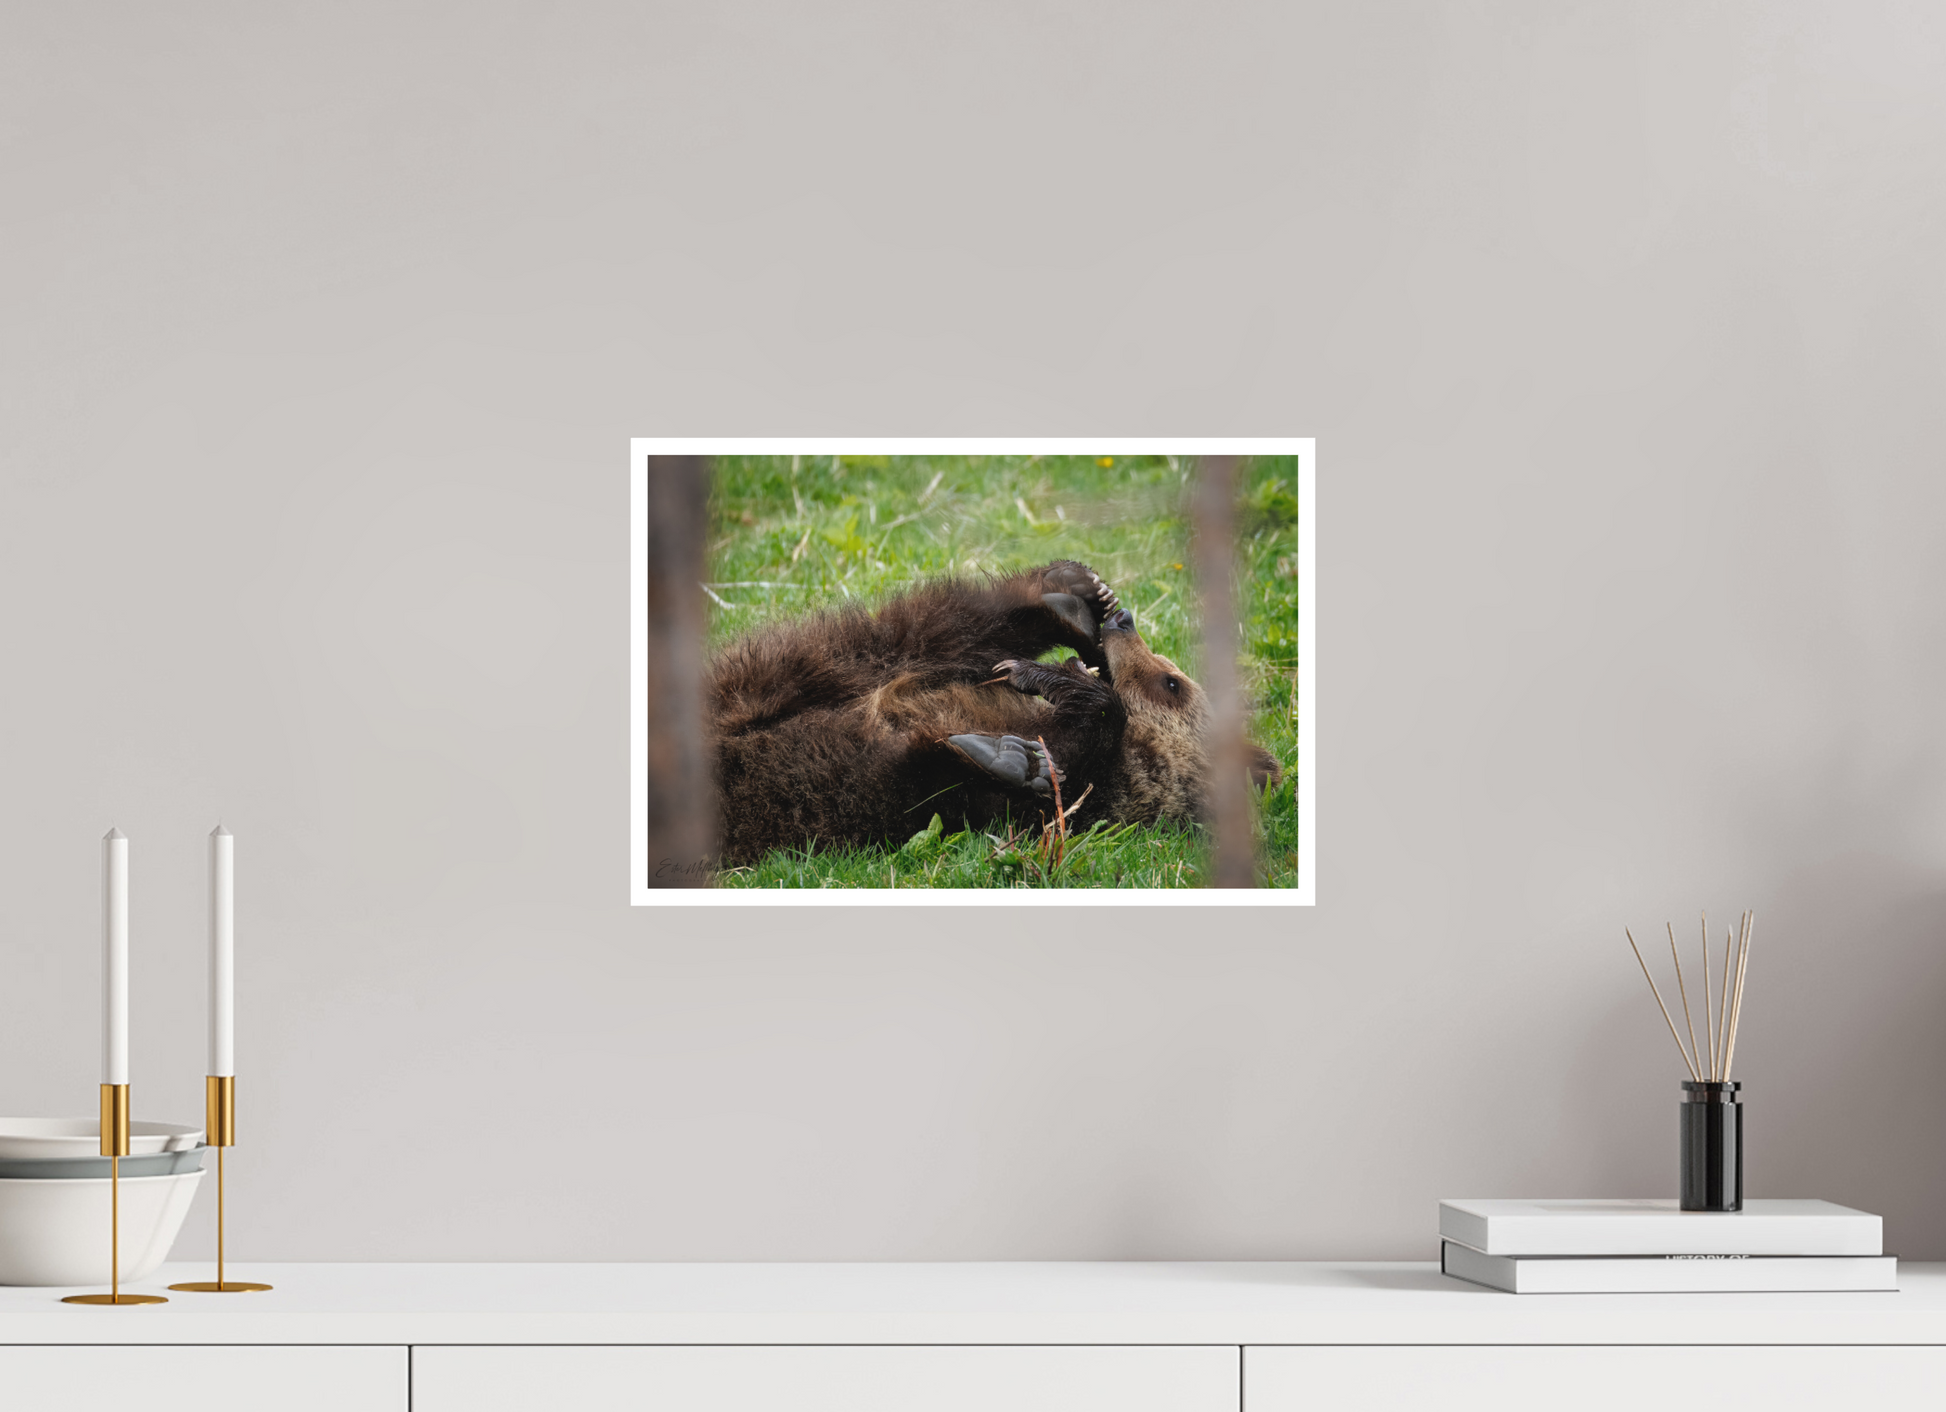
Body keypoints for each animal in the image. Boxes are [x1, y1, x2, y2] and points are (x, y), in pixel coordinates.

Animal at [707, 559, 1282, 866]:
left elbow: (944, 782)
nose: (1124, 621)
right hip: (779, 675)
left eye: (1171, 683)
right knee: (907, 636)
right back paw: (1066, 596)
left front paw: (1015, 753)